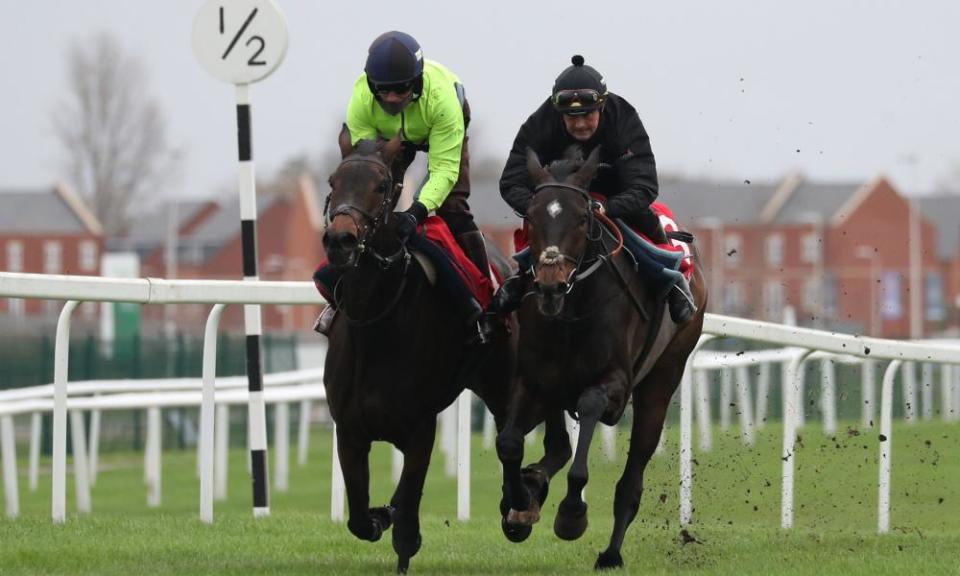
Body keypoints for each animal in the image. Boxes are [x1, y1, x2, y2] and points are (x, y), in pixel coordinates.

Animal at [318, 128, 568, 572]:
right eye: (334, 181)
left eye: (381, 186)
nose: (340, 240)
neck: (377, 326)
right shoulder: (348, 430)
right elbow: (360, 518)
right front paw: (382, 513)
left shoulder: (420, 429)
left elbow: (406, 522)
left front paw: (404, 533)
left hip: (503, 382)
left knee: (519, 442)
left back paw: (520, 505)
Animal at [498, 148, 708, 572]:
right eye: (531, 216)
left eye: (582, 217)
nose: (550, 284)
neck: (571, 309)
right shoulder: (533, 379)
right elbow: (509, 442)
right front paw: (520, 501)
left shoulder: (615, 383)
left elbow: (590, 409)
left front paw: (571, 513)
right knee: (554, 443)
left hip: (663, 377)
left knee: (631, 478)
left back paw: (611, 553)